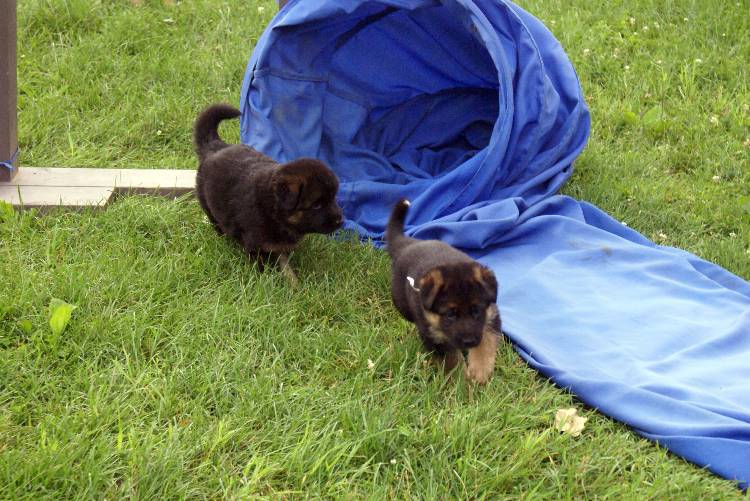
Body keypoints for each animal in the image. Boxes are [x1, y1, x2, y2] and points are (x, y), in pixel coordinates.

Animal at [195, 102, 346, 282]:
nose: (340, 221)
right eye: (317, 205)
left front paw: (293, 283)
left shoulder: (279, 245)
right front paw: (263, 281)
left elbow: (286, 266)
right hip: (208, 205)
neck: (273, 207)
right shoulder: (255, 245)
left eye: (333, 198)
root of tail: (214, 146)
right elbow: (261, 267)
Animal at [388, 199, 500, 382]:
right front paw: (461, 384)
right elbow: (453, 361)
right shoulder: (435, 339)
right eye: (449, 315)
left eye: (477, 310)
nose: (469, 341)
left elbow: (486, 343)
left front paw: (480, 372)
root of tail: (407, 244)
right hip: (401, 303)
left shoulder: (491, 317)